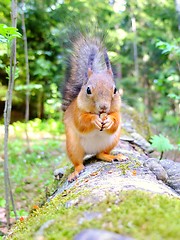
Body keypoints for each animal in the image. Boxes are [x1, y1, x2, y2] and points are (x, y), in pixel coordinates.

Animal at [61, 34, 126, 182]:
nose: (103, 107)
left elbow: (116, 121)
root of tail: (90, 151)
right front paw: (94, 120)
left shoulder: (117, 111)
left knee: (100, 154)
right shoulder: (77, 112)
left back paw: (112, 156)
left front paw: (109, 121)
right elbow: (81, 122)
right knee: (78, 162)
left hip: (111, 141)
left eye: (115, 90)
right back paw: (76, 171)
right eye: (88, 90)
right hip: (73, 146)